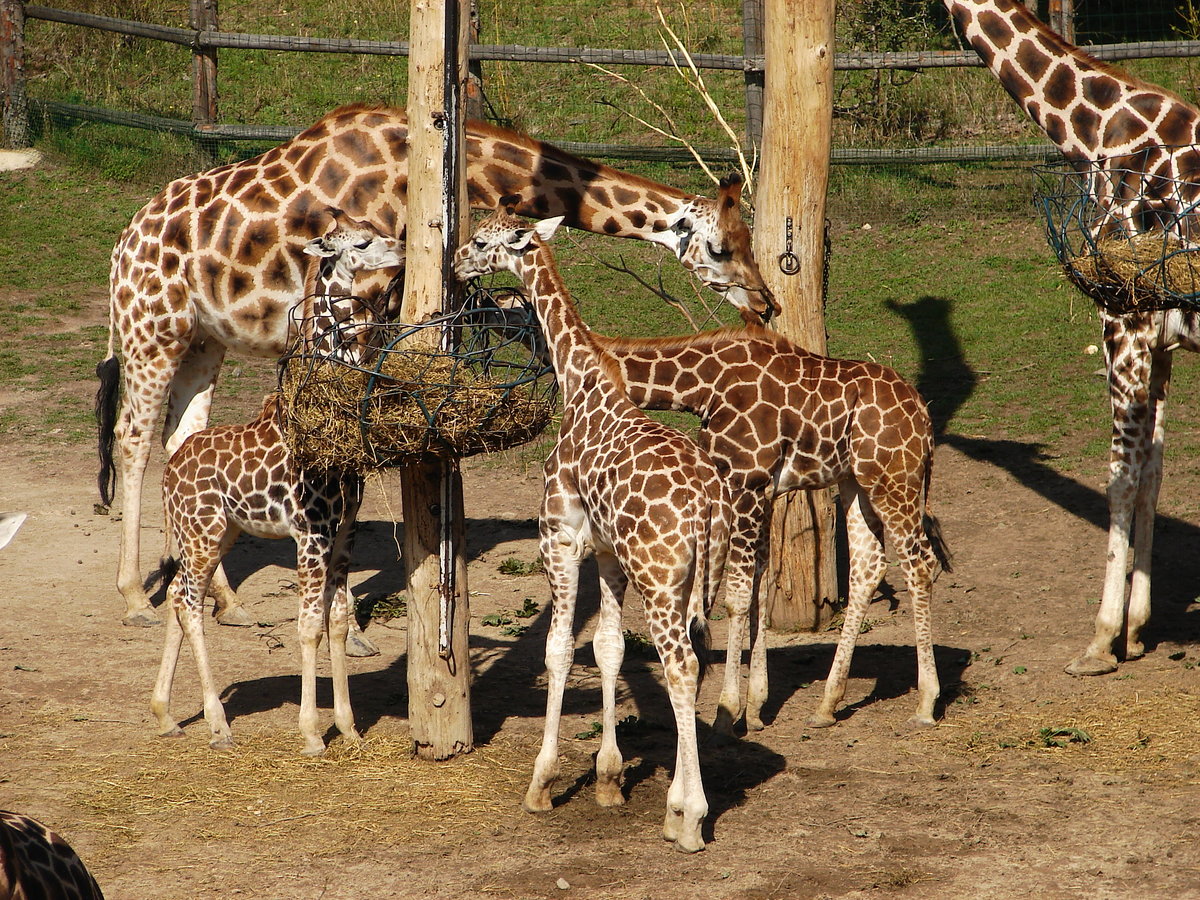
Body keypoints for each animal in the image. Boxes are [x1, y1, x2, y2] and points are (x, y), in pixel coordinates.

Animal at [95, 103, 774, 628]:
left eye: (749, 241)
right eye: (721, 248)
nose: (767, 302)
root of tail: (122, 245)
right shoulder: (365, 307)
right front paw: (351, 618)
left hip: (203, 341)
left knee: (181, 438)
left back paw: (223, 598)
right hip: (151, 330)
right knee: (132, 438)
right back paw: (132, 595)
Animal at [149, 220, 403, 756]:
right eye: (362, 242)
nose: (401, 250)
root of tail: (169, 474)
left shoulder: (344, 532)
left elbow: (337, 620)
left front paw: (349, 726)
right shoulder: (311, 532)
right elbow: (306, 626)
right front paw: (311, 733)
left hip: (219, 533)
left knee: (180, 597)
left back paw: (165, 714)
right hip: (203, 534)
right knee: (189, 604)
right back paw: (218, 724)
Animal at [454, 205, 731, 853]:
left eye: (480, 240)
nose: (454, 262)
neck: (580, 383)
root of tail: (707, 503)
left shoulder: (558, 537)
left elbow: (557, 649)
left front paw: (541, 784)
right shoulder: (606, 552)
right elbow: (607, 648)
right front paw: (608, 779)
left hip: (660, 580)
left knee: (681, 666)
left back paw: (691, 818)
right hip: (696, 580)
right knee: (695, 660)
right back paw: (674, 808)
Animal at [590, 327, 949, 732]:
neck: (701, 388)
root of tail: (925, 417)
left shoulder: (743, 482)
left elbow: (737, 596)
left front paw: (727, 711)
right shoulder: (762, 491)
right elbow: (760, 585)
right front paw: (755, 707)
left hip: (894, 481)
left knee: (920, 564)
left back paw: (926, 703)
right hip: (856, 483)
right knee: (869, 567)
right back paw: (826, 705)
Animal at [943, 0, 1200, 675]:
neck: (1095, 132)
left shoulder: (1123, 320)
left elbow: (1120, 478)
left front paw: (1099, 640)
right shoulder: (1159, 341)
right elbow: (1152, 472)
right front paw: (1136, 628)